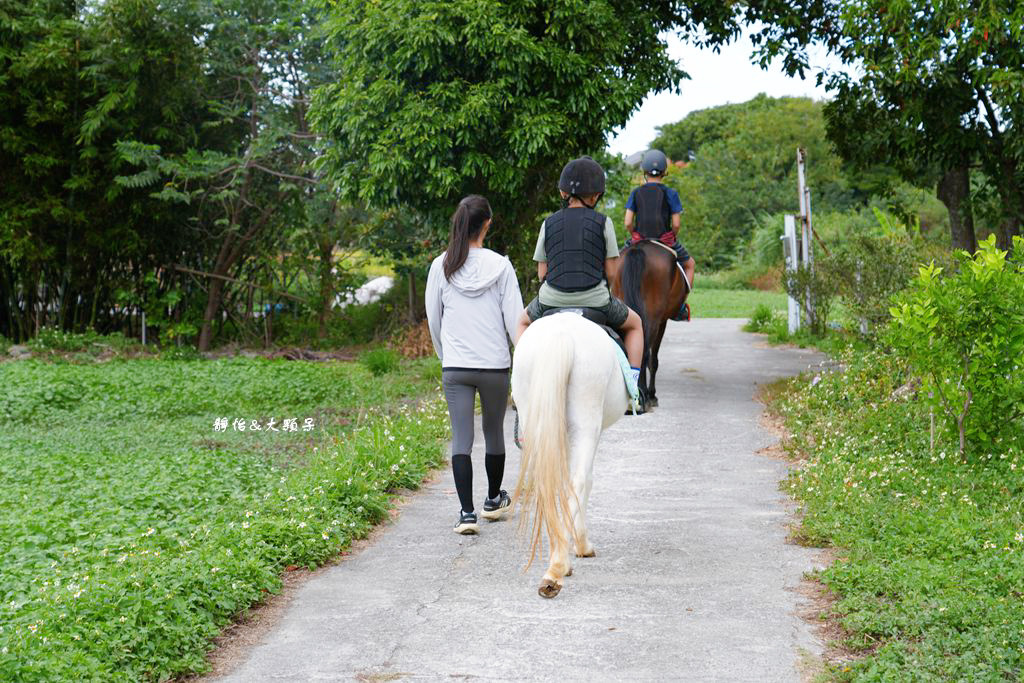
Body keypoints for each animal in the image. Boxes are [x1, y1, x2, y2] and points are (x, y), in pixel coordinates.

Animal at [509, 313, 622, 593]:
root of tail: (560, 334)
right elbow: (586, 482)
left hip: (534, 418)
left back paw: (556, 564)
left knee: (546, 484)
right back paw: (560, 566)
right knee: (578, 481)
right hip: (586, 422)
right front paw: (582, 546)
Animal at [610, 240, 692, 409]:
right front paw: (652, 395)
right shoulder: (662, 322)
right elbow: (653, 360)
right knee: (645, 352)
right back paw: (644, 396)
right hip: (653, 318)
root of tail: (638, 250)